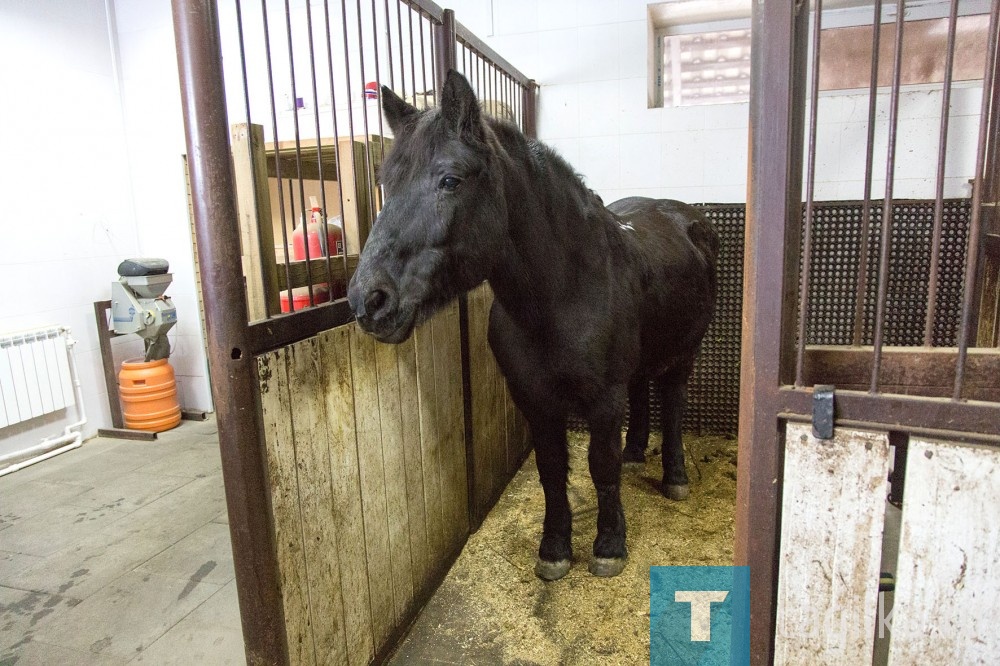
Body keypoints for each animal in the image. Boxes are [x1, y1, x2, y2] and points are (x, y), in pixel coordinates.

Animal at [348, 72, 716, 580]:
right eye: (385, 182)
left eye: (450, 179)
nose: (368, 300)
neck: (562, 295)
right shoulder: (534, 400)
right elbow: (552, 469)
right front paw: (555, 547)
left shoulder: (604, 400)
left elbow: (600, 468)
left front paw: (609, 545)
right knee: (642, 395)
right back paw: (636, 453)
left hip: (684, 355)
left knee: (674, 403)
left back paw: (675, 477)